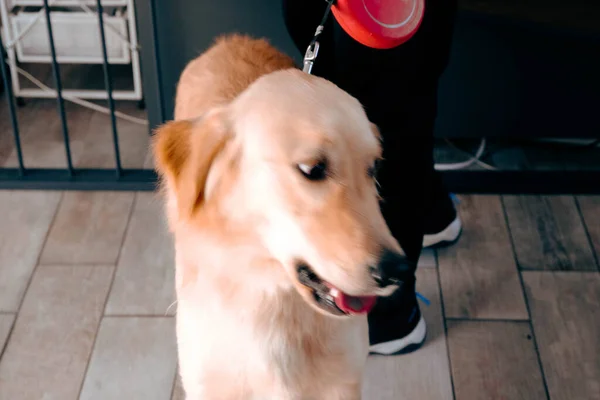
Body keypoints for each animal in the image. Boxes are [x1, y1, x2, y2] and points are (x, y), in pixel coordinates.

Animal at [152, 35, 412, 400]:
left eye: (373, 168)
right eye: (312, 169)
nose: (398, 271)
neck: (274, 301)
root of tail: (231, 39)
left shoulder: (342, 383)